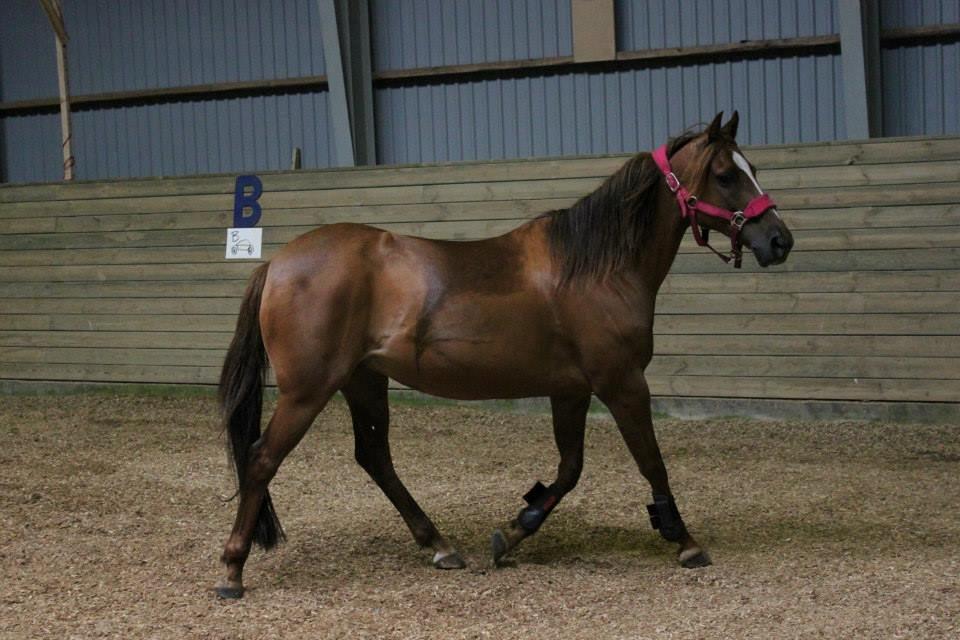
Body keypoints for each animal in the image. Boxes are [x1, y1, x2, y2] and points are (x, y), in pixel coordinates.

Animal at [215, 111, 794, 598]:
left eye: (753, 168)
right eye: (725, 174)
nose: (779, 240)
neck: (597, 267)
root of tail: (277, 264)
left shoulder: (571, 389)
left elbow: (569, 470)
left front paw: (516, 530)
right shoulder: (622, 381)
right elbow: (650, 460)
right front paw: (684, 540)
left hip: (363, 381)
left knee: (374, 457)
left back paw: (441, 546)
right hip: (309, 389)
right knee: (262, 459)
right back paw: (232, 570)